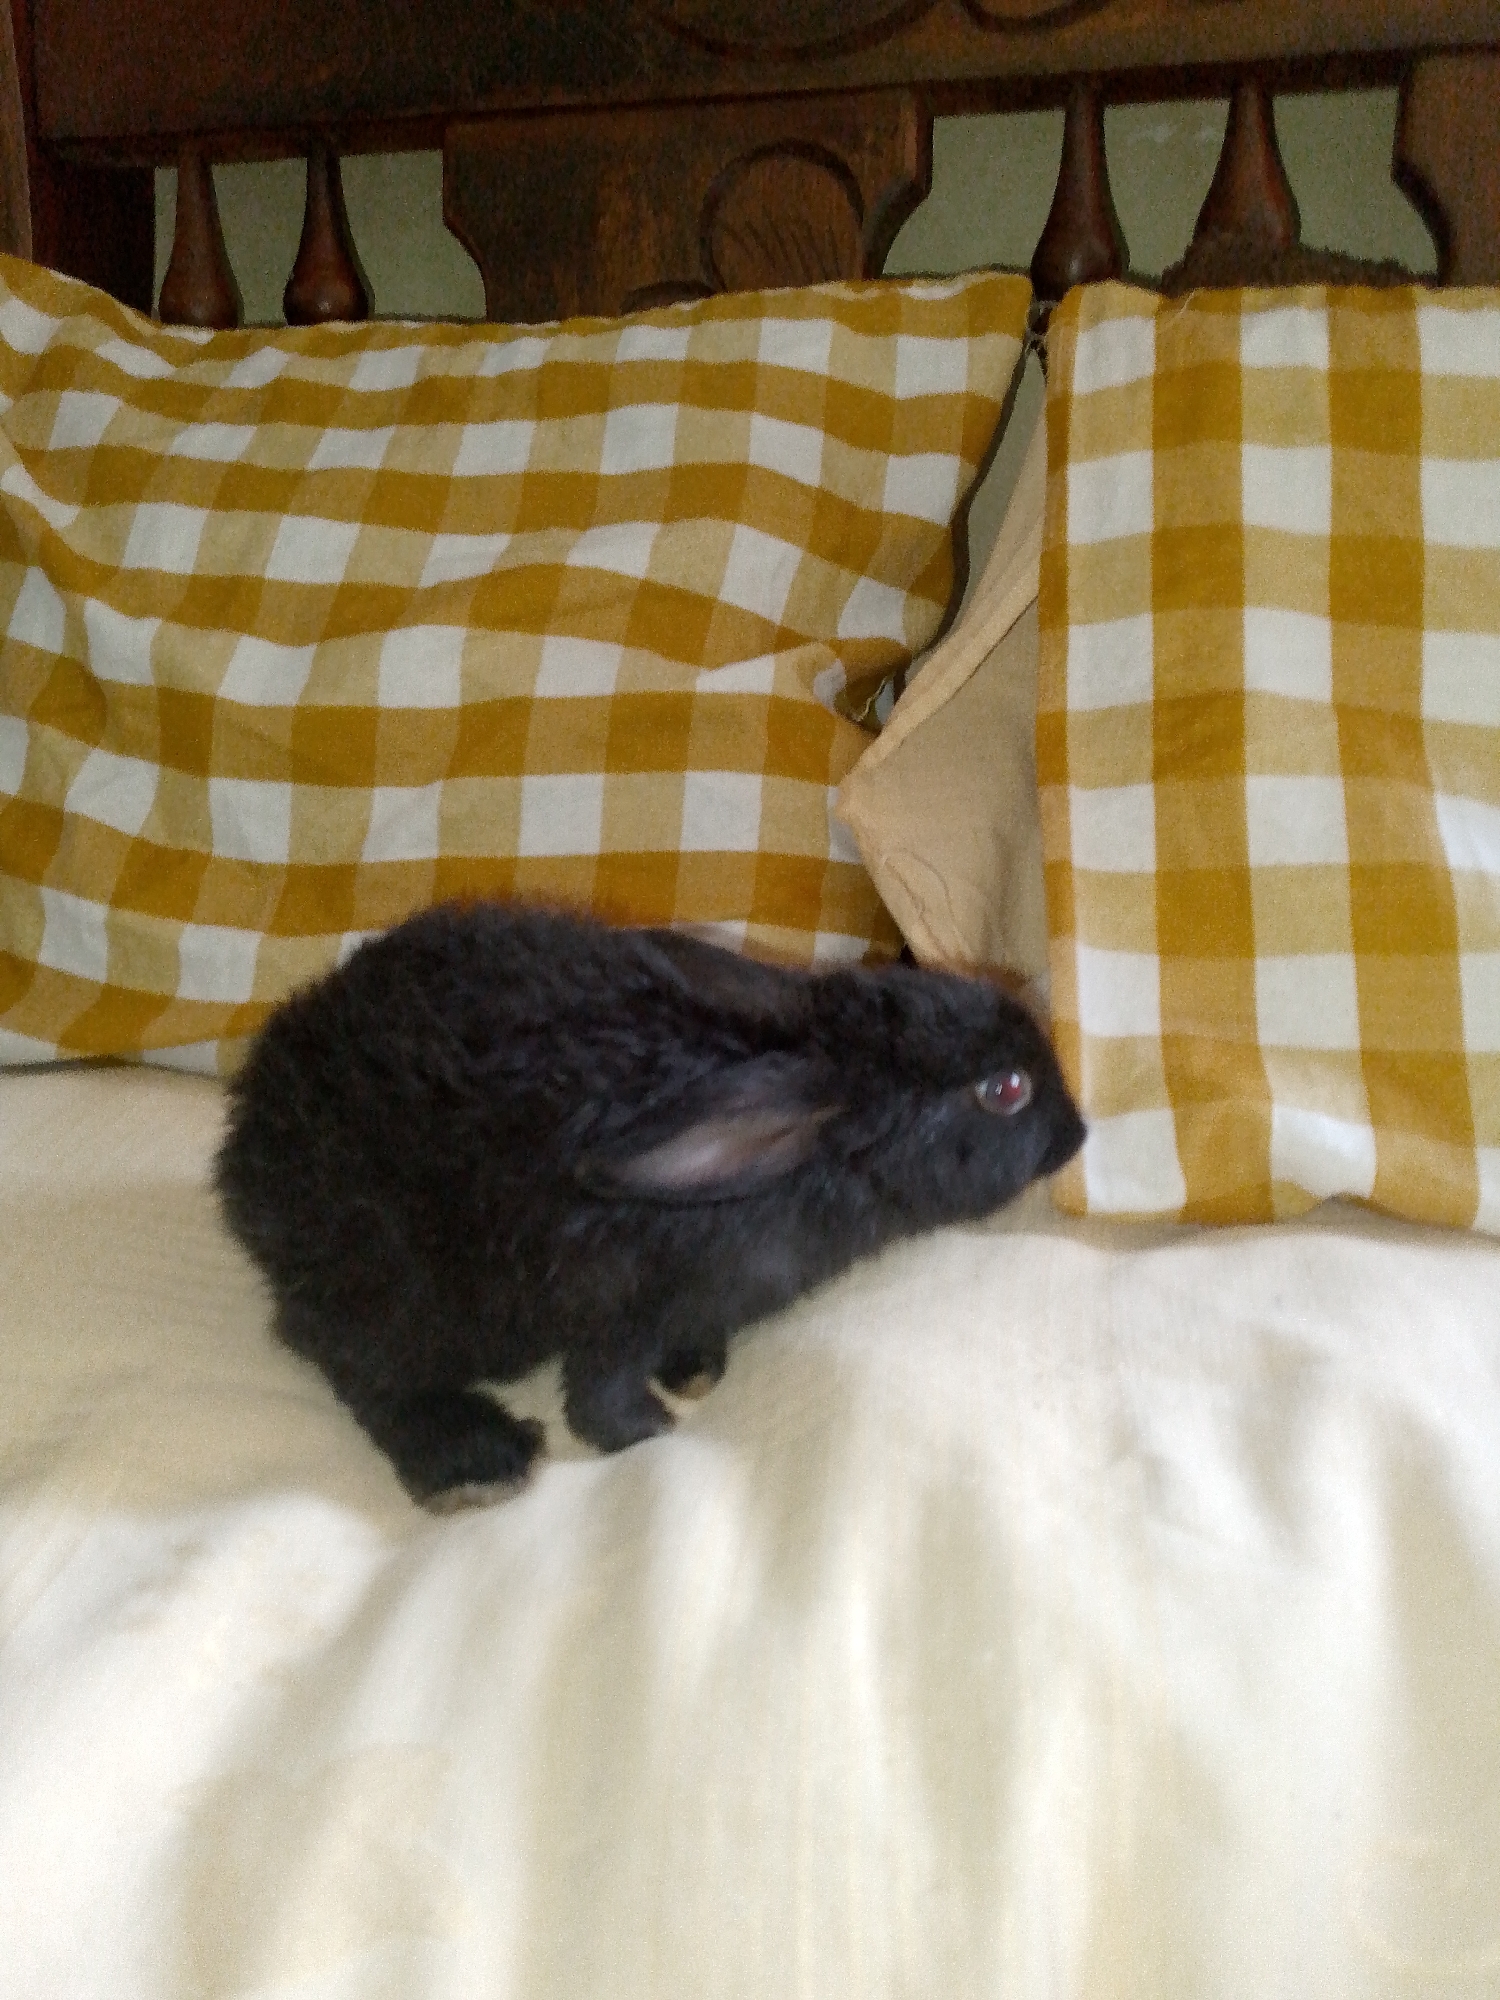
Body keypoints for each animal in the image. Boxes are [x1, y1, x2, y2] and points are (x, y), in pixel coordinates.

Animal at [215, 901, 1085, 1508]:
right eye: (1006, 1091)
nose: (1076, 1134)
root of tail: (243, 1152)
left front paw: (695, 1369)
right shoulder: (617, 1306)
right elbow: (598, 1394)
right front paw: (647, 1429)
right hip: (389, 1283)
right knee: (355, 1364)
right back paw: (473, 1460)